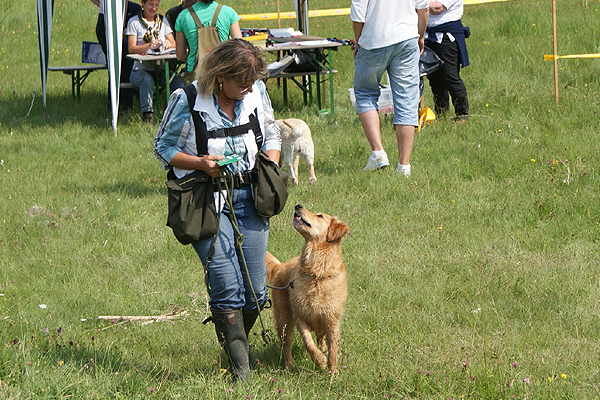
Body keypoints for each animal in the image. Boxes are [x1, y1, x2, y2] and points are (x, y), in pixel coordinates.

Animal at [266, 205, 350, 374]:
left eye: (320, 216)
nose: (298, 206)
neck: (316, 274)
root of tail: (281, 266)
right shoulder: (300, 317)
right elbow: (308, 343)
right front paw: (320, 360)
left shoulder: (332, 321)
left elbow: (333, 350)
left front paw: (333, 373)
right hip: (284, 320)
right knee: (286, 346)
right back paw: (289, 366)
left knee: (320, 337)